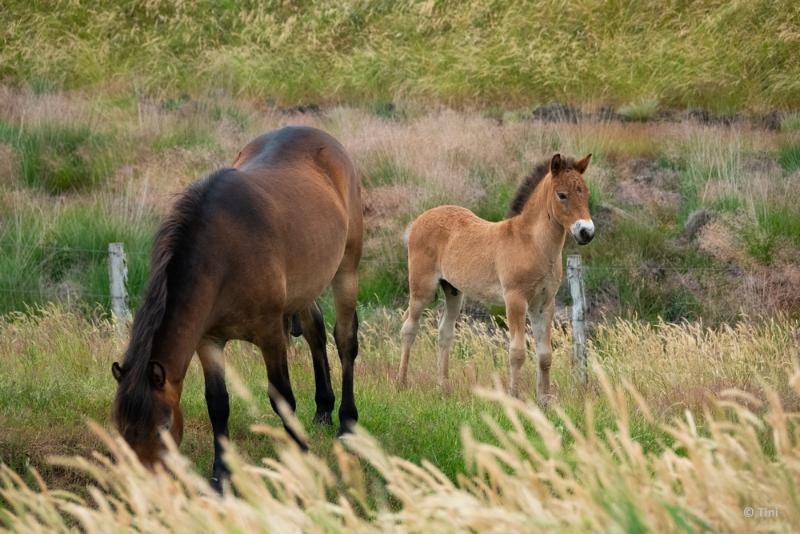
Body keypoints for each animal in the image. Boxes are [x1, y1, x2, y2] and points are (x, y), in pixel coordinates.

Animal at [111, 126, 360, 494]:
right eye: (120, 429)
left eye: (163, 427)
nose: (147, 487)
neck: (222, 257)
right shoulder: (208, 340)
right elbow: (218, 403)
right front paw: (221, 474)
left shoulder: (271, 334)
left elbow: (281, 397)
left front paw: (300, 461)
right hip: (305, 286)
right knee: (315, 330)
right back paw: (323, 410)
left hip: (347, 268)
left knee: (344, 340)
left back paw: (347, 423)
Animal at [400, 155, 592, 406]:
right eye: (562, 195)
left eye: (585, 192)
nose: (586, 232)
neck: (531, 244)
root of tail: (419, 220)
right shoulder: (515, 300)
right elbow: (517, 352)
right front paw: (514, 396)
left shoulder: (544, 304)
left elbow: (544, 354)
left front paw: (545, 400)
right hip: (422, 288)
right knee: (409, 327)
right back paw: (401, 383)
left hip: (453, 291)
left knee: (444, 333)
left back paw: (443, 387)